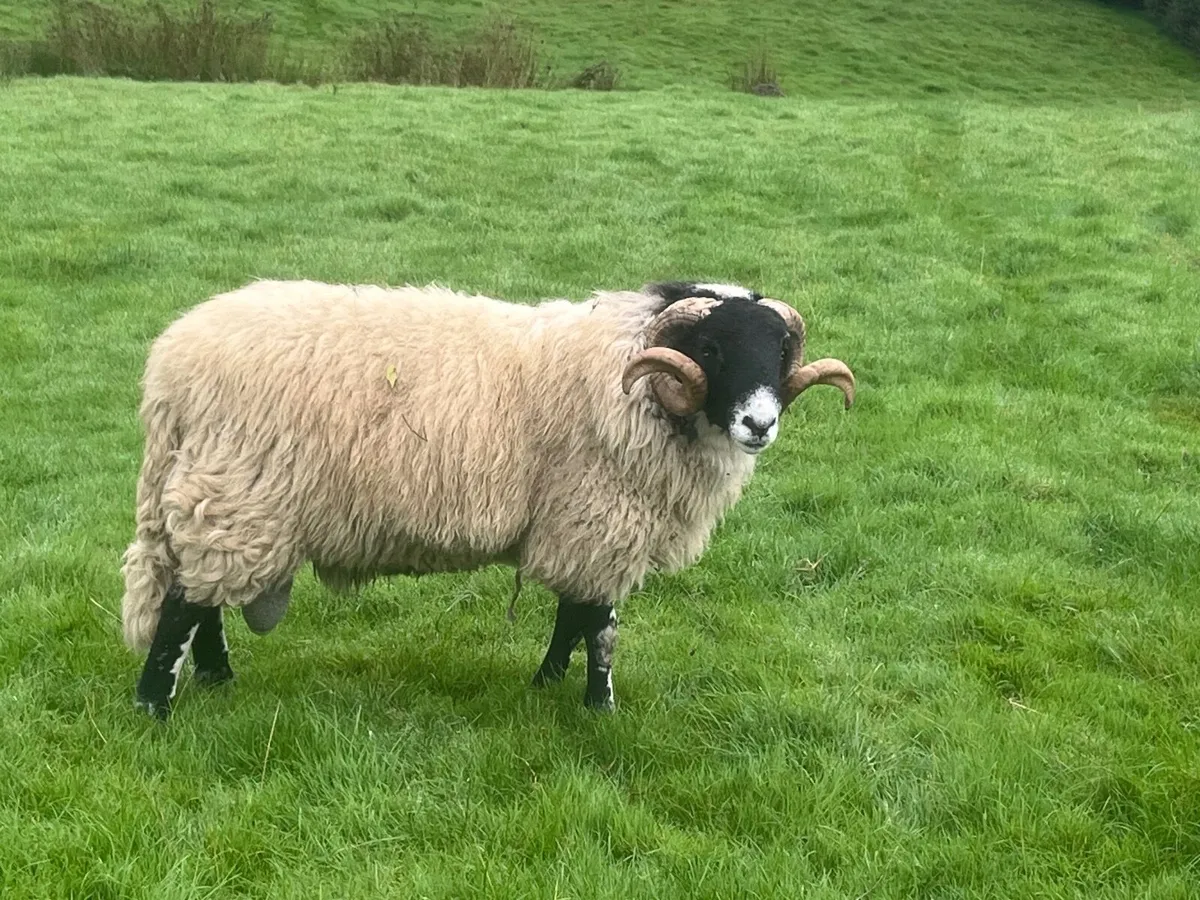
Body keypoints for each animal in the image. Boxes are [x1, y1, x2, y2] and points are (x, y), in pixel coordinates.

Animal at [121, 279, 856, 719]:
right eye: (710, 347)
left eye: (779, 349)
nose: (758, 423)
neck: (627, 380)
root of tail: (169, 369)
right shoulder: (599, 518)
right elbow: (601, 624)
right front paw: (599, 706)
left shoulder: (574, 522)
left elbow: (570, 612)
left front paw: (547, 683)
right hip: (242, 491)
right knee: (183, 604)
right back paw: (155, 706)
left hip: (227, 498)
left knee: (202, 599)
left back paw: (217, 680)